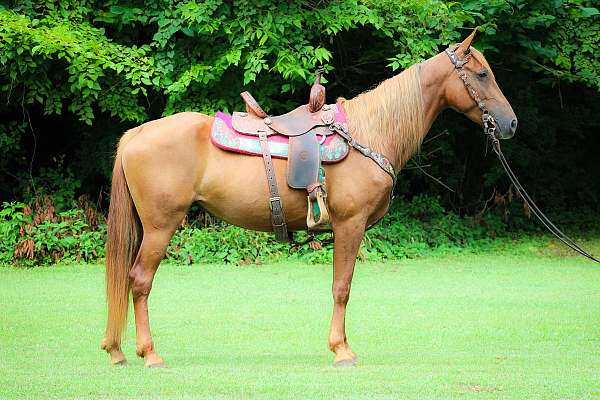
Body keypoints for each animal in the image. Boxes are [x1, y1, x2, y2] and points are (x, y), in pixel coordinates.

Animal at [102, 29, 516, 368]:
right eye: (482, 75)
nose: (510, 123)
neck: (369, 133)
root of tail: (136, 135)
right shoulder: (350, 225)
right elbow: (342, 287)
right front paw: (341, 350)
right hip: (160, 227)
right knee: (139, 281)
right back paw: (149, 354)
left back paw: (118, 350)